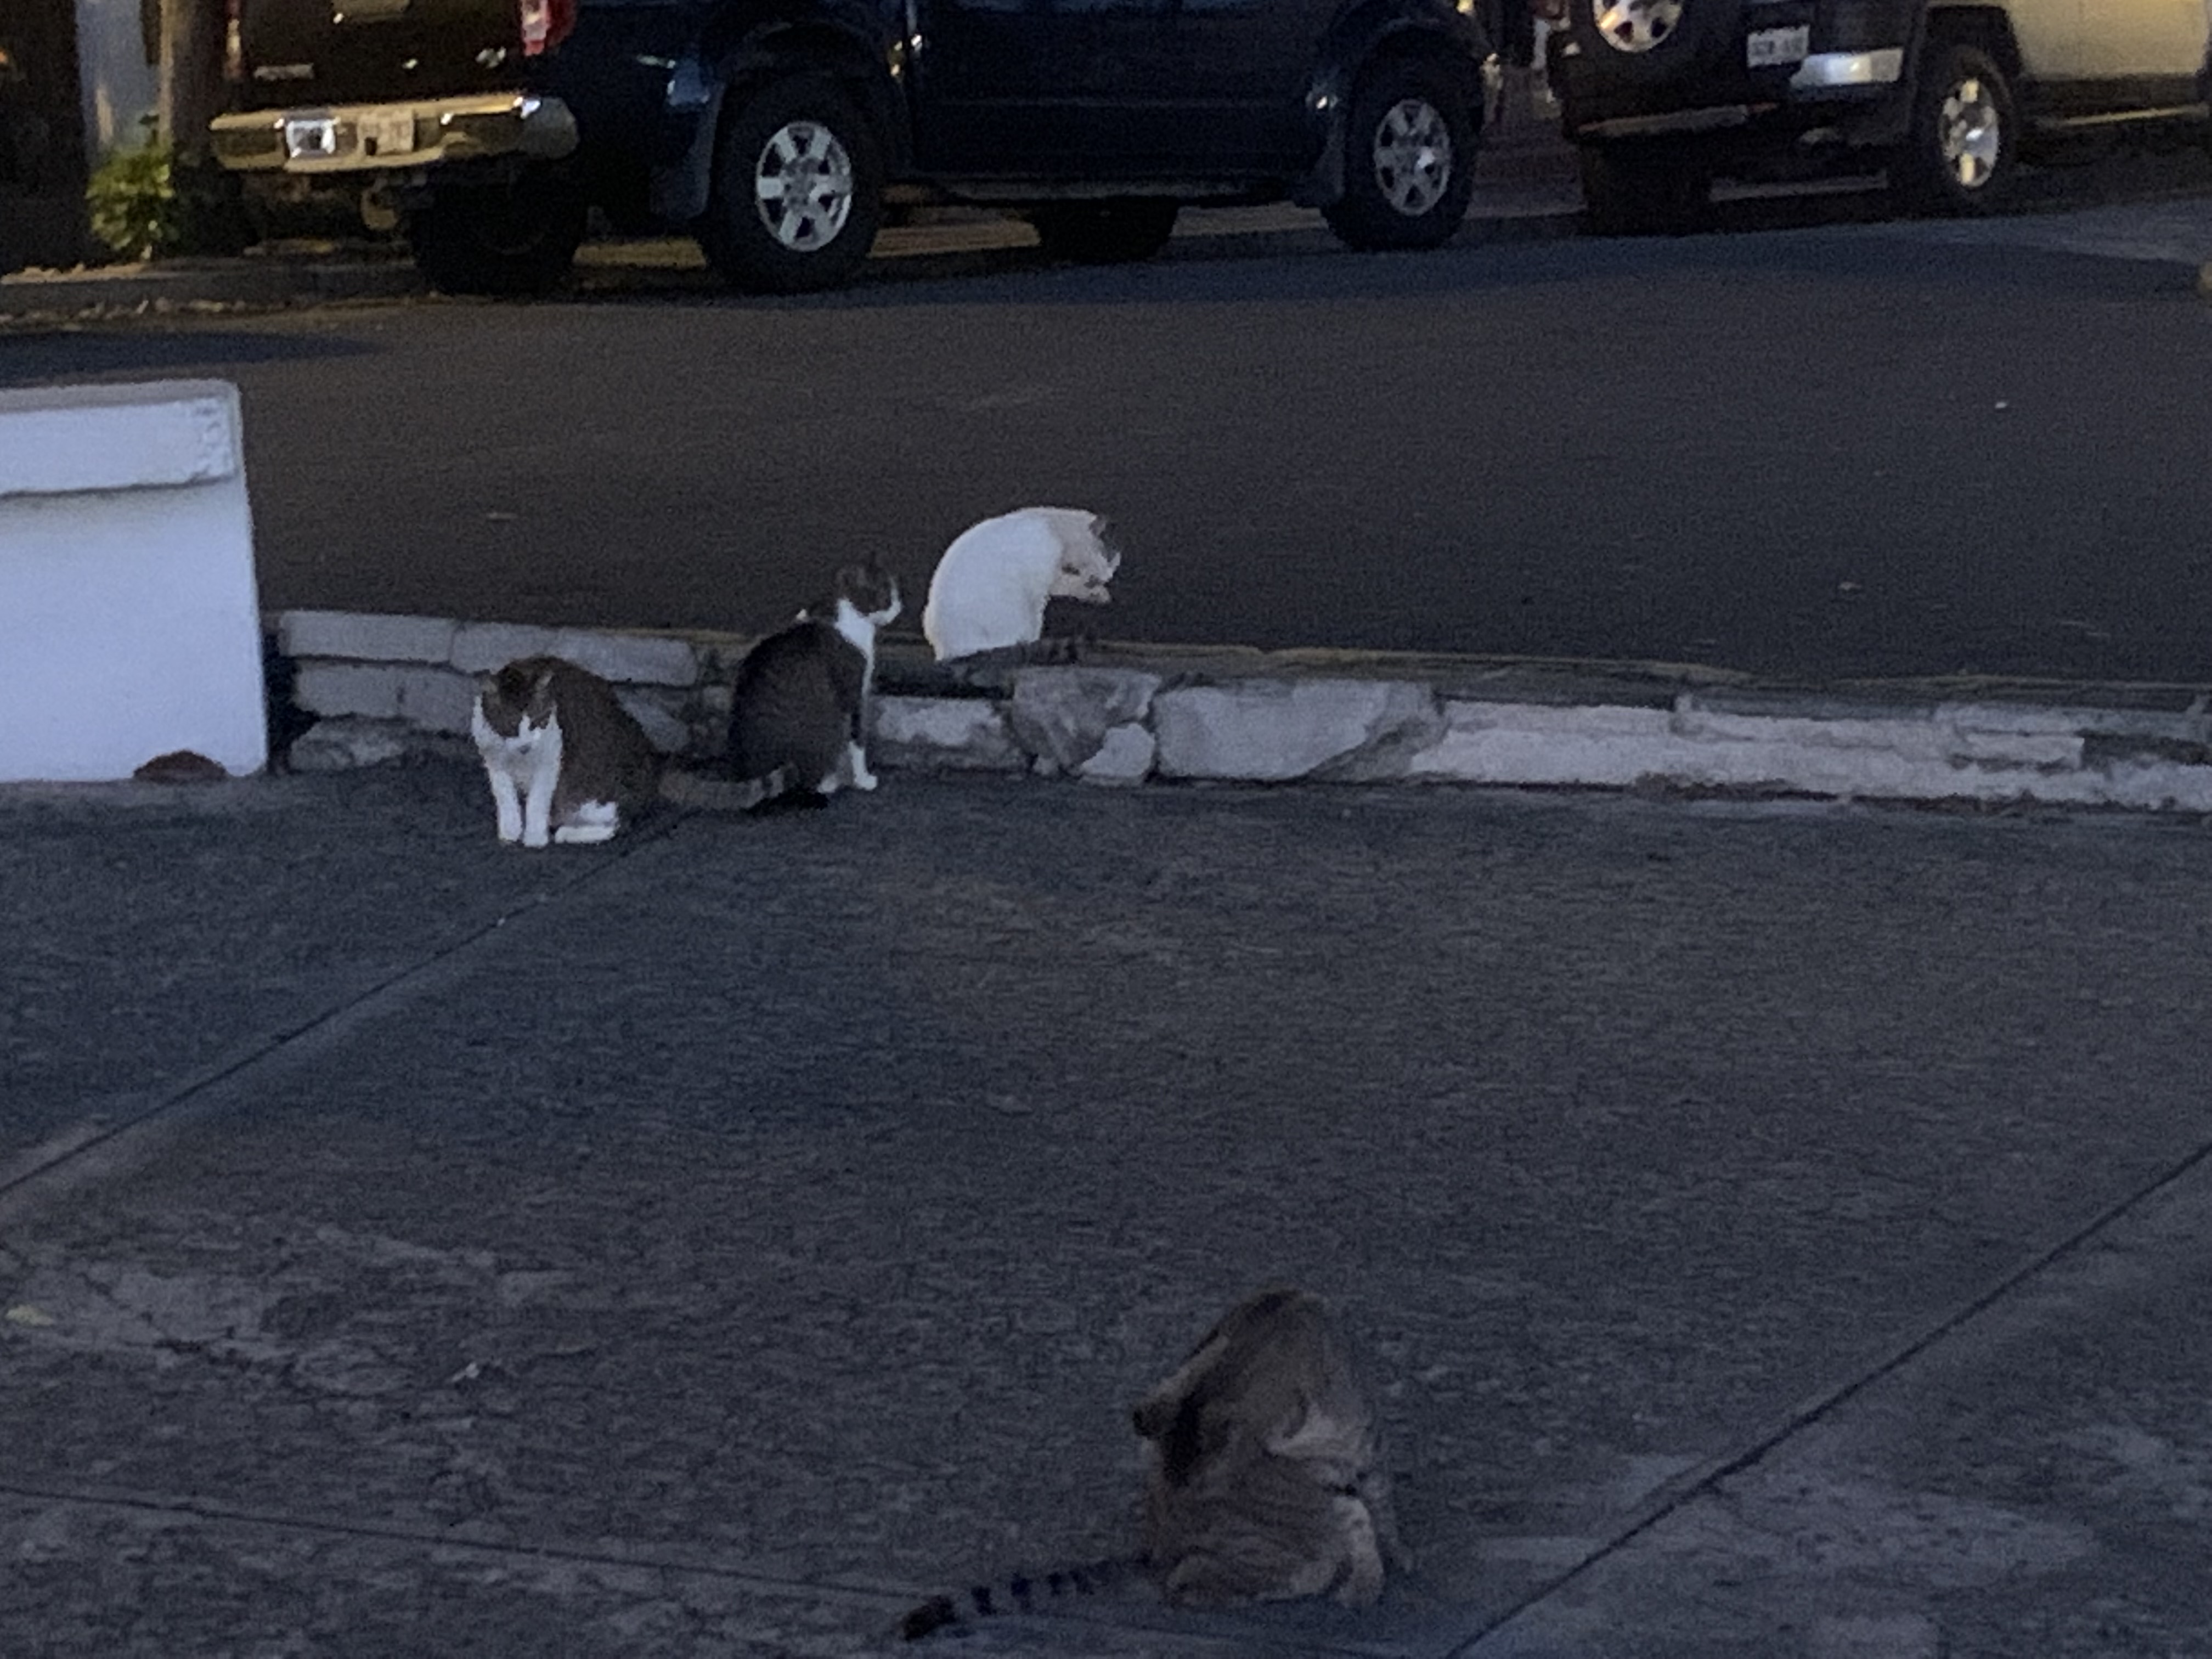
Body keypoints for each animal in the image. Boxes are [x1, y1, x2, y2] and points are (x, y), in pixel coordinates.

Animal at [469, 654, 659, 849]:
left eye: (536, 722)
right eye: (511, 725)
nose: (526, 745)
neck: (518, 757)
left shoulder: (549, 760)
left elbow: (537, 801)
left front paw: (535, 839)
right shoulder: (494, 761)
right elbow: (506, 799)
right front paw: (510, 833)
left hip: (591, 794)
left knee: (615, 824)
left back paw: (565, 833)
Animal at [659, 562, 902, 814]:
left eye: (896, 593)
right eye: (886, 595)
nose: (899, 607)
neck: (850, 615)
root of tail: (745, 771)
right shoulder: (853, 695)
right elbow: (857, 741)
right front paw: (863, 780)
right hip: (826, 723)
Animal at [920, 506, 1124, 663]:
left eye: (1113, 563)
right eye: (1108, 558)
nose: (1107, 577)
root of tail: (954, 651)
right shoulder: (1047, 578)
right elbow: (1072, 586)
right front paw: (1098, 593)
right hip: (1025, 614)